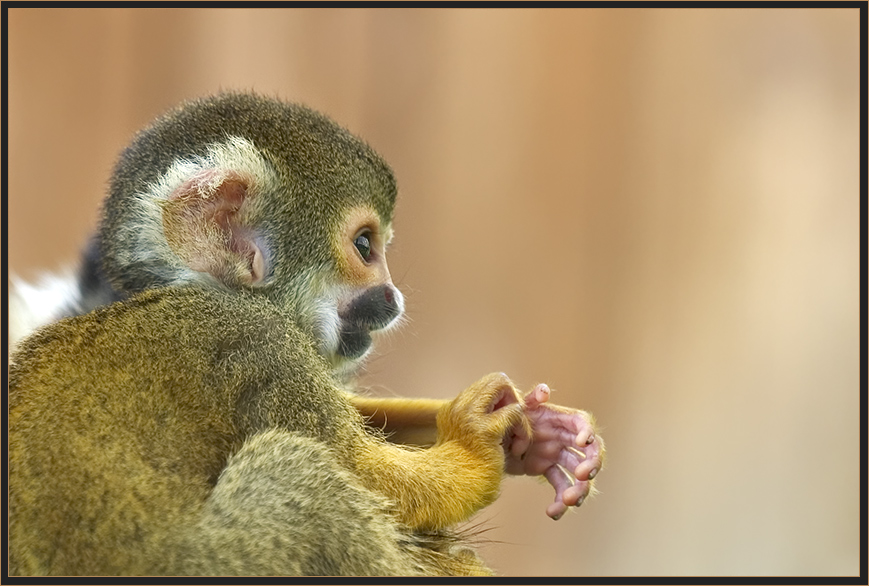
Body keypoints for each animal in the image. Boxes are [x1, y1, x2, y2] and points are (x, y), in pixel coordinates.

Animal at [8, 93, 604, 572]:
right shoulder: (252, 341)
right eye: (365, 247)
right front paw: (479, 439)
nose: (392, 297)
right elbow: (381, 480)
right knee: (296, 472)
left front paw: (538, 436)